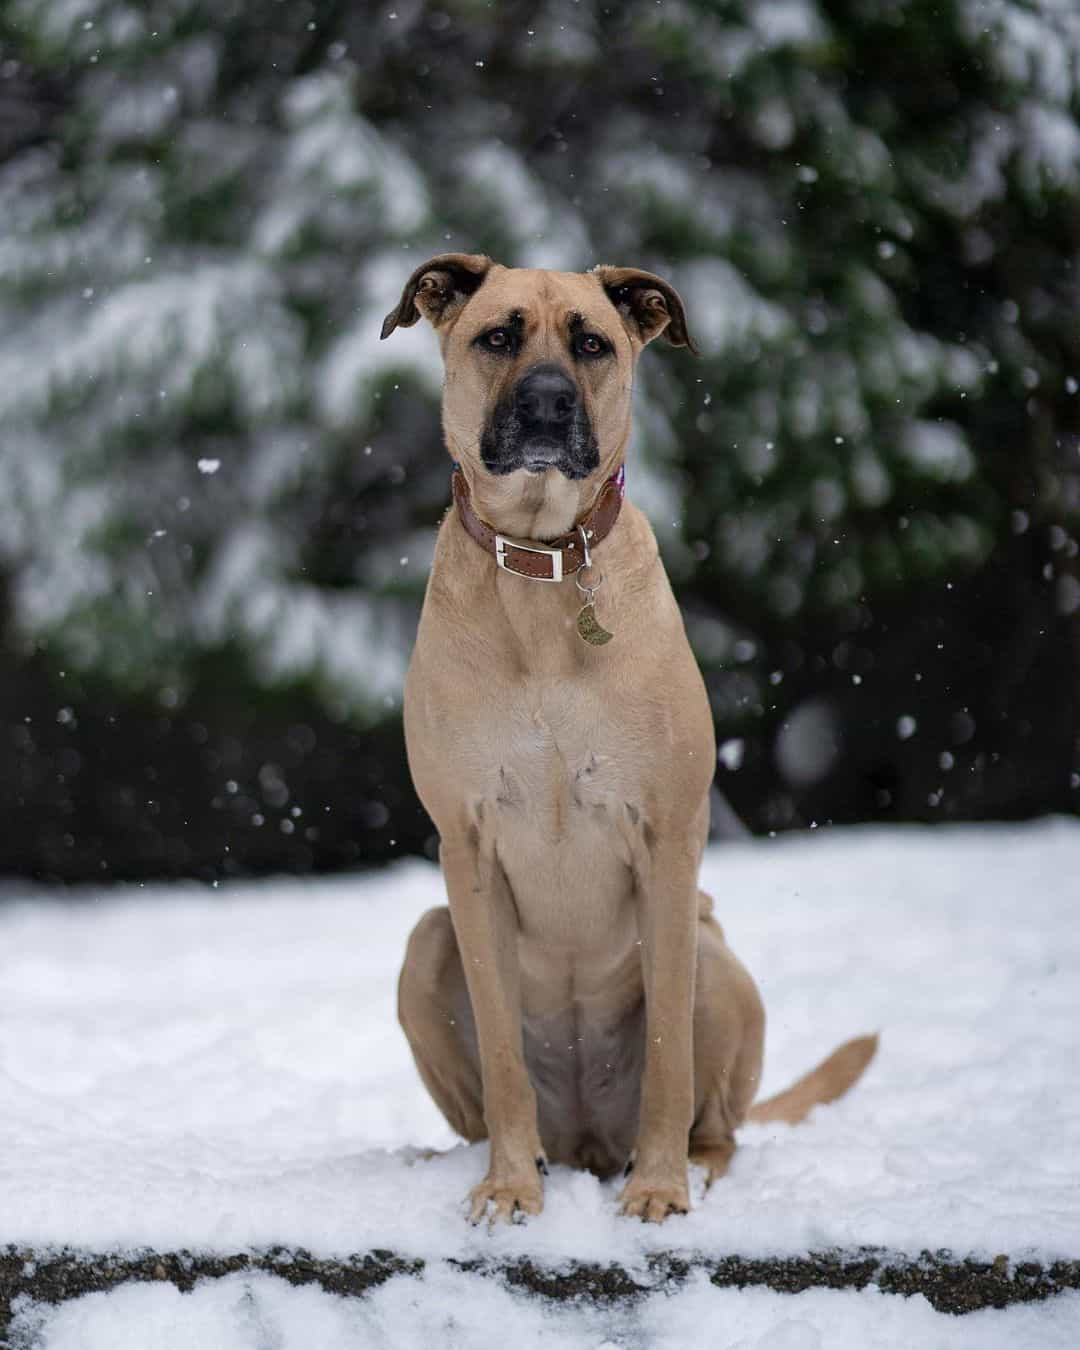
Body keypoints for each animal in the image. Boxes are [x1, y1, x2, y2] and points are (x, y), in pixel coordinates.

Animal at [380, 255, 874, 1225]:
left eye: (592, 343)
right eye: (497, 336)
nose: (545, 403)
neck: (544, 571)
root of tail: (587, 1147)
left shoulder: (668, 838)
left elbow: (670, 1064)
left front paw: (658, 1191)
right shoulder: (466, 845)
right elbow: (502, 1058)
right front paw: (508, 1188)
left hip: (716, 957)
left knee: (718, 1121)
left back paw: (688, 1167)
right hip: (425, 945)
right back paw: (479, 1161)